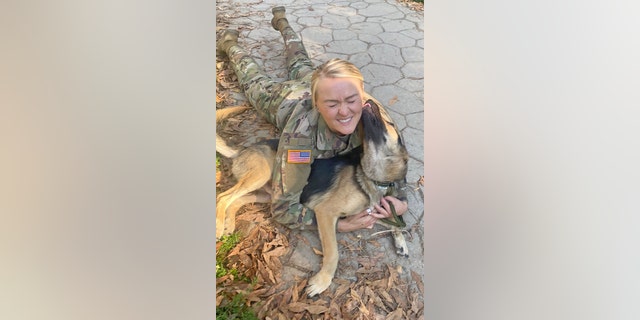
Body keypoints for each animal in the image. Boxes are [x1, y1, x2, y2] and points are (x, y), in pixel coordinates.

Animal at [215, 100, 408, 298]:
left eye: (389, 124)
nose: (369, 101)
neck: (372, 178)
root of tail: (242, 150)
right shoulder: (326, 212)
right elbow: (333, 252)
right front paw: (322, 281)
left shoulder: (373, 211)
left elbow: (395, 220)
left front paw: (401, 242)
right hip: (261, 176)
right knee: (223, 197)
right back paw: (219, 226)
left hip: (266, 194)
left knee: (236, 201)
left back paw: (229, 225)